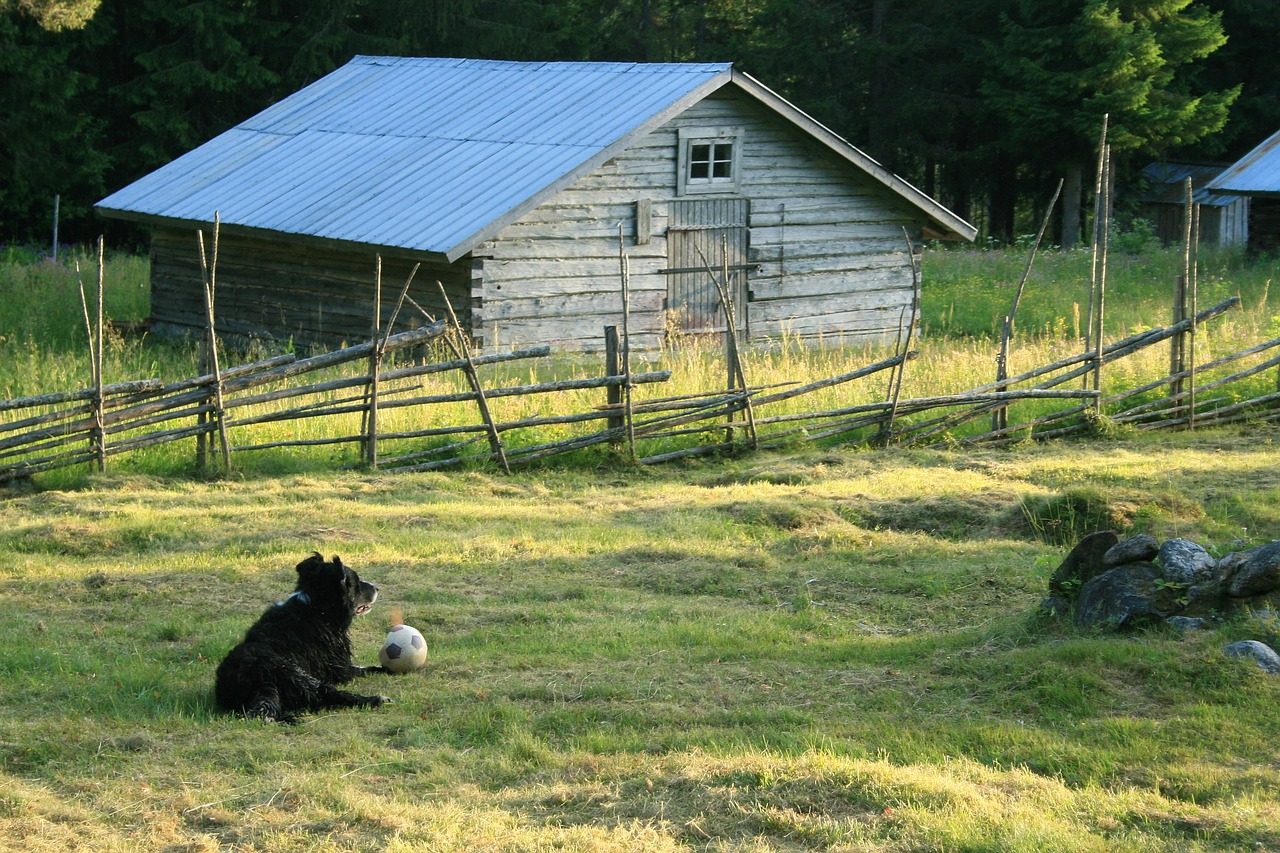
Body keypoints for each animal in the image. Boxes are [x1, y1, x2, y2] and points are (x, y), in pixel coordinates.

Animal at [216, 548, 389, 722]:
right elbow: (365, 669)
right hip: (299, 676)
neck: (318, 608)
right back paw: (375, 699)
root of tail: (258, 679)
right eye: (356, 584)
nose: (377, 588)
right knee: (328, 695)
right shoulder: (339, 668)